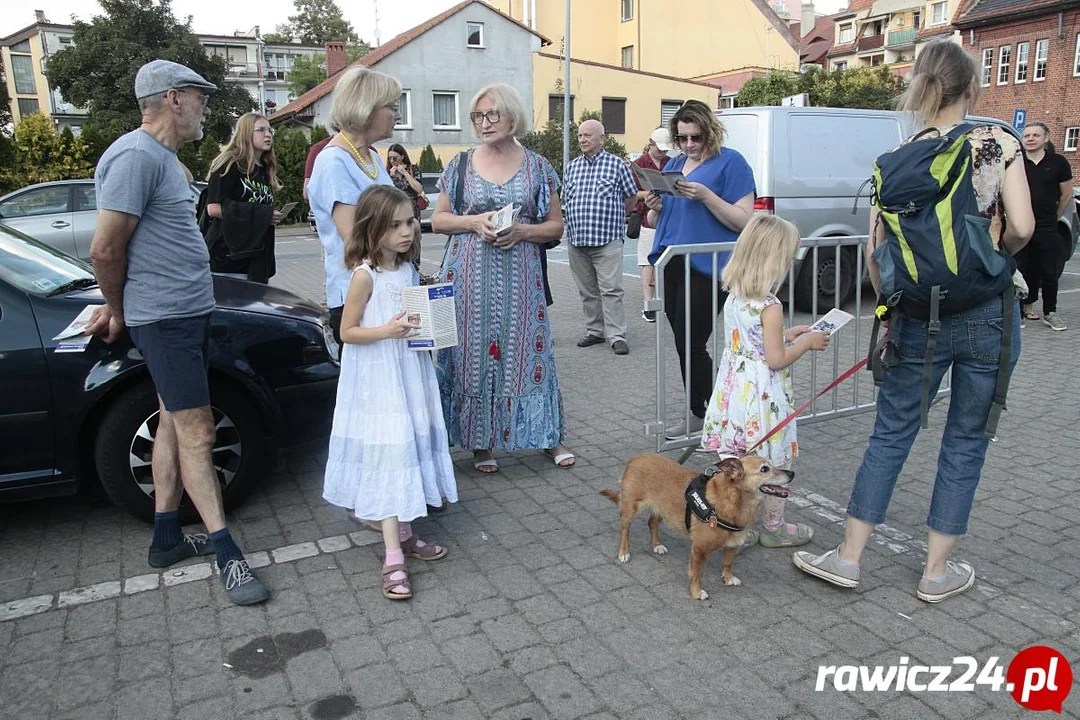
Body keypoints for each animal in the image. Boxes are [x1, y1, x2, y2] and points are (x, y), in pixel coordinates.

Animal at [600, 453, 794, 600]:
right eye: (764, 469)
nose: (792, 473)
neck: (734, 502)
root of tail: (636, 458)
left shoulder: (733, 544)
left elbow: (728, 563)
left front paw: (728, 578)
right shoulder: (699, 550)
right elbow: (696, 573)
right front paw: (696, 592)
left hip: (663, 509)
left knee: (651, 523)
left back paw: (657, 545)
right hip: (631, 508)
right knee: (625, 530)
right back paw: (624, 552)